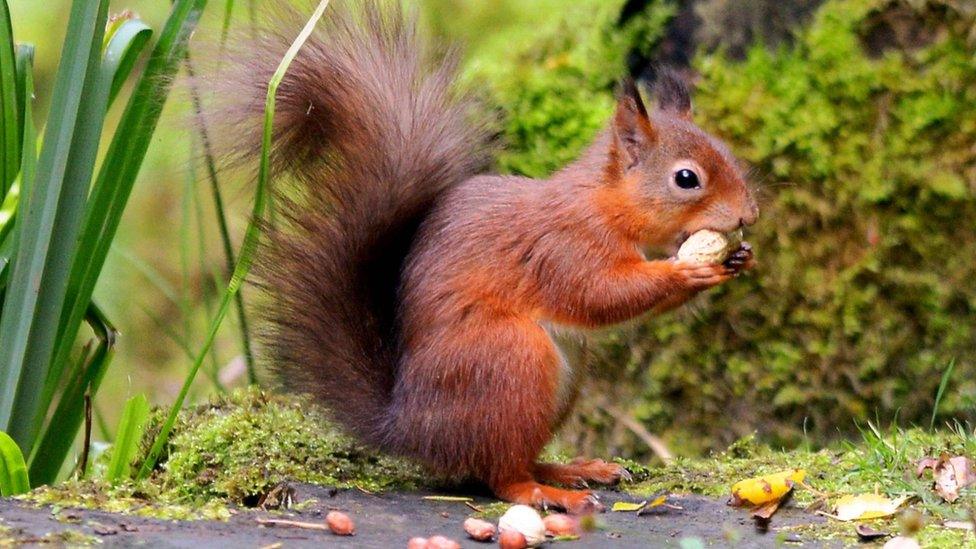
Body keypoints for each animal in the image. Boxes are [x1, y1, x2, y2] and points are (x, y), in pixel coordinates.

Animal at [210, 1, 760, 512]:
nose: (750, 214)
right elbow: (600, 295)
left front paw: (740, 259)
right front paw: (689, 270)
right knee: (500, 475)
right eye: (686, 179)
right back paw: (547, 492)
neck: (604, 204)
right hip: (509, 360)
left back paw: (571, 469)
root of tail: (410, 427)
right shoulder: (564, 247)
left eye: (727, 151)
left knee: (508, 460)